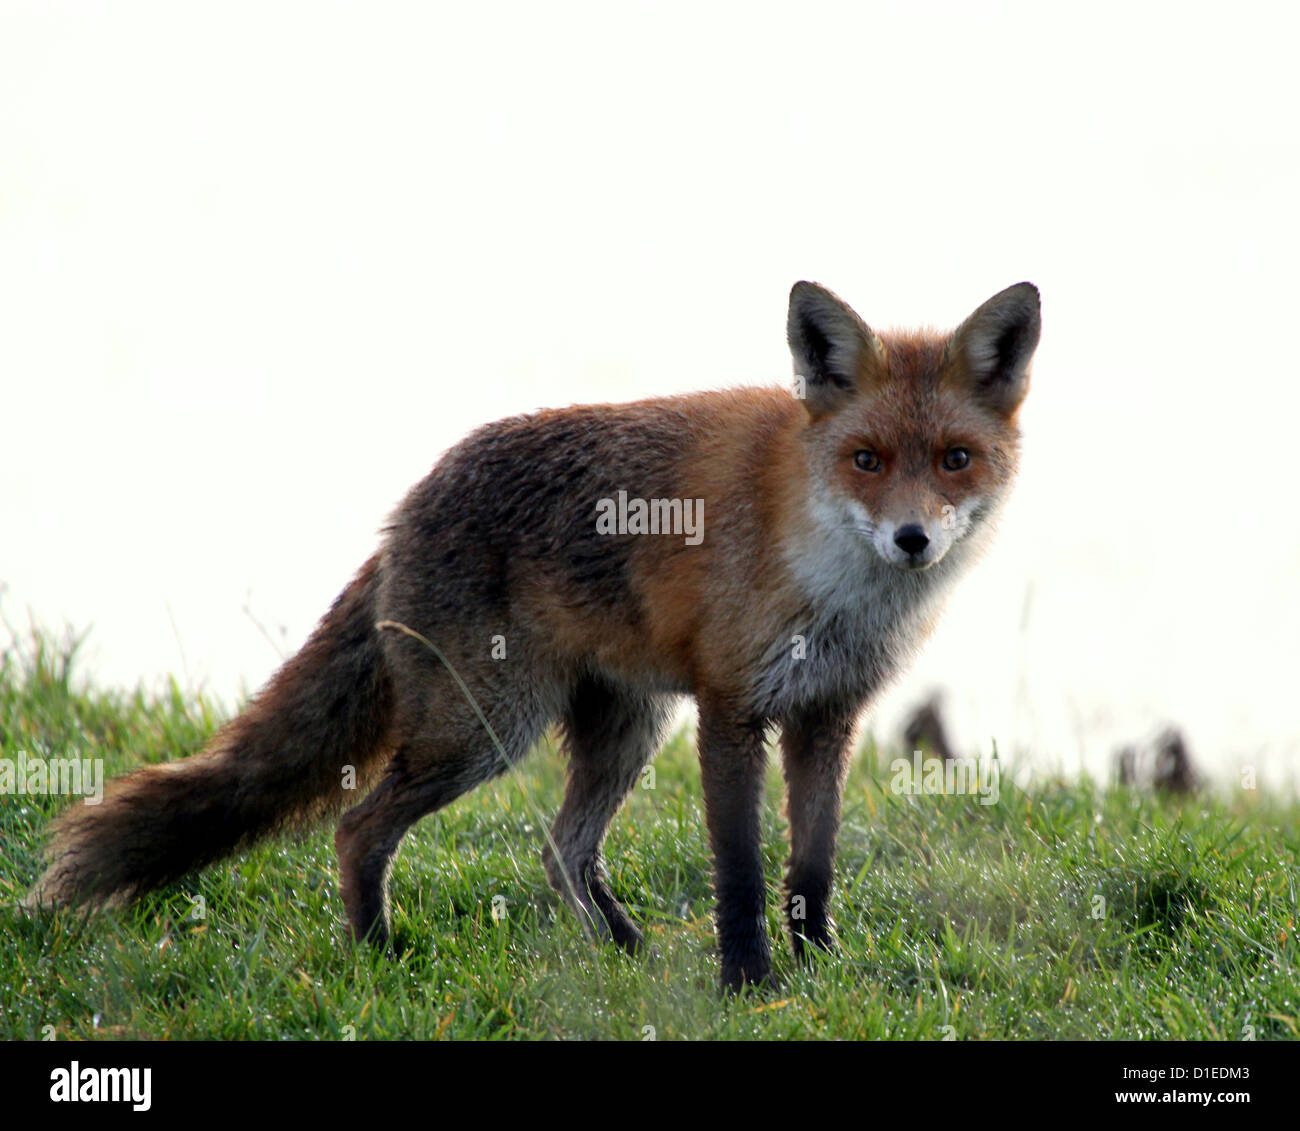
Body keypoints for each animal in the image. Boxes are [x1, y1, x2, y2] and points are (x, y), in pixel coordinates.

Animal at [27, 280, 1034, 993]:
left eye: (955, 460)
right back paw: (378, 955)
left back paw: (625, 955)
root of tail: (405, 507)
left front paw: (819, 967)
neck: (834, 584)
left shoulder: (829, 715)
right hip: (486, 731)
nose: (913, 539)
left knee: (561, 852)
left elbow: (811, 869)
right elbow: (742, 873)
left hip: (623, 728)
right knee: (361, 826)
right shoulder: (730, 709)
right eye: (867, 460)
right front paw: (749, 984)